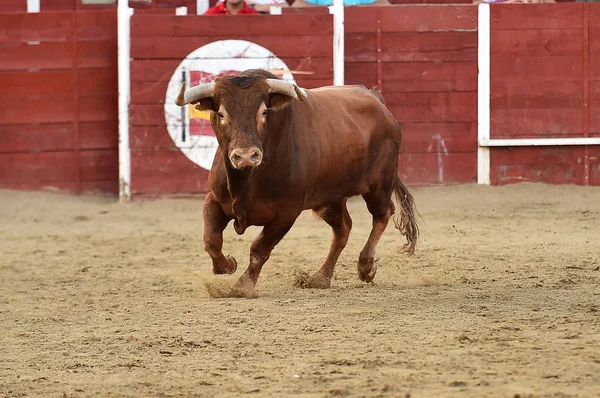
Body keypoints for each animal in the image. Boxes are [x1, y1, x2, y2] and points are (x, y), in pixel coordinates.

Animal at [173, 69, 418, 296]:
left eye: (264, 111)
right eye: (221, 113)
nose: (245, 156)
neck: (247, 179)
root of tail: (376, 99)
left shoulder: (287, 212)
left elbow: (260, 248)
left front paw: (242, 286)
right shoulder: (214, 199)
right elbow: (211, 240)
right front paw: (226, 266)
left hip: (378, 185)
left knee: (383, 213)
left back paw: (365, 266)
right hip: (330, 199)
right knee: (343, 229)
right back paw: (320, 277)